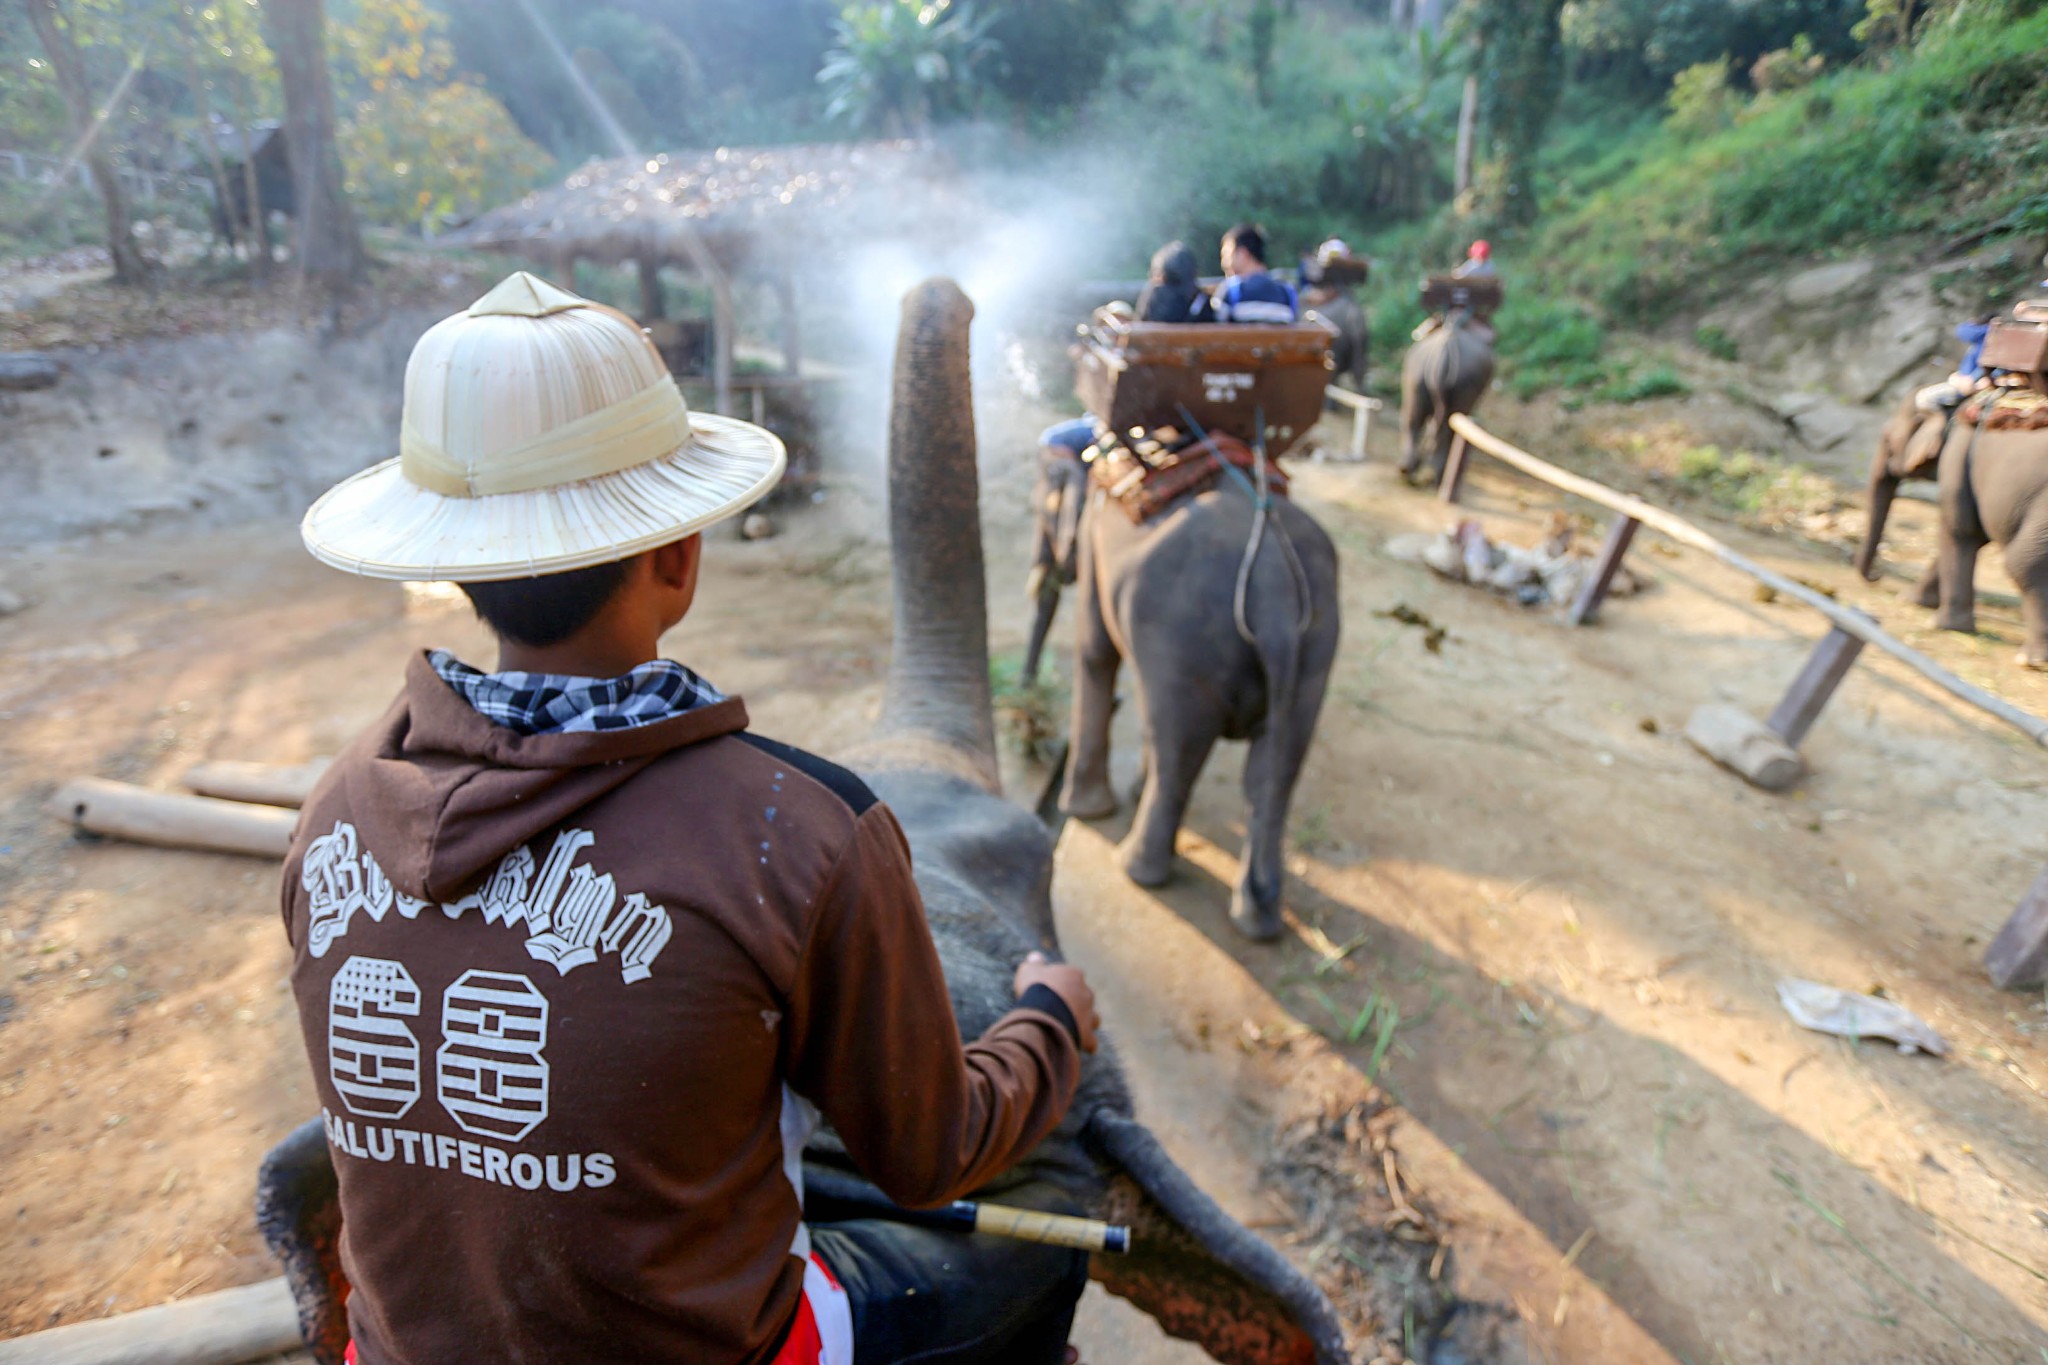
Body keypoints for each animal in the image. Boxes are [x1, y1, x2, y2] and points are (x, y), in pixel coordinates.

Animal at [1056, 454, 1343, 945]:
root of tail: (1273, 590)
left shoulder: (1095, 540)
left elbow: (1096, 651)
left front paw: (1086, 812)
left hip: (1184, 637)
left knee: (1181, 750)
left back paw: (1136, 872)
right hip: (1316, 649)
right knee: (1273, 770)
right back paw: (1257, 921)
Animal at [1400, 317, 1499, 491]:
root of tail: (1446, 345)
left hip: (1420, 377)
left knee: (1415, 419)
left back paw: (1413, 472)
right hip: (1457, 381)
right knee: (1441, 424)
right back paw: (1431, 476)